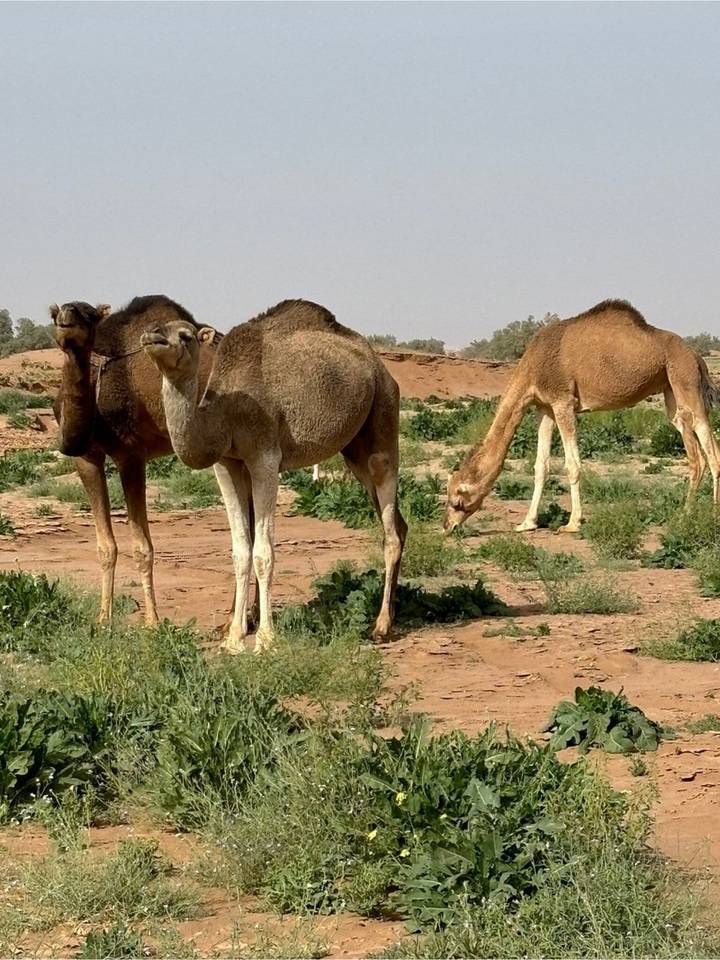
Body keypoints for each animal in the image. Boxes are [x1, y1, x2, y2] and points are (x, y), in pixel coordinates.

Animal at [50, 296, 223, 623]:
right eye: (55, 314)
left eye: (89, 314)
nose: (67, 317)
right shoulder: (86, 457)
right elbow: (105, 546)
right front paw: (103, 620)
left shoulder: (131, 454)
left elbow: (143, 547)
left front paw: (152, 623)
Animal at [140, 299, 407, 652]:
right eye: (157, 327)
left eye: (185, 335)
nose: (151, 335)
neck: (224, 415)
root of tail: (380, 366)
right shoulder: (226, 465)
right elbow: (241, 551)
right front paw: (234, 637)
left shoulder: (265, 458)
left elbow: (263, 552)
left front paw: (265, 639)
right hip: (354, 451)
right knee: (398, 523)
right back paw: (394, 614)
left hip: (383, 414)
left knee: (390, 525)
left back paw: (381, 626)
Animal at [444, 299, 720, 533]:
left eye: (457, 497)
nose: (447, 526)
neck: (533, 367)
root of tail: (696, 356)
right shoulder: (544, 407)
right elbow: (540, 466)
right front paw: (527, 523)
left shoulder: (563, 402)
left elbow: (572, 465)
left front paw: (572, 523)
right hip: (670, 388)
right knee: (694, 438)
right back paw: (694, 513)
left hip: (684, 378)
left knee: (705, 448)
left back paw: (703, 515)